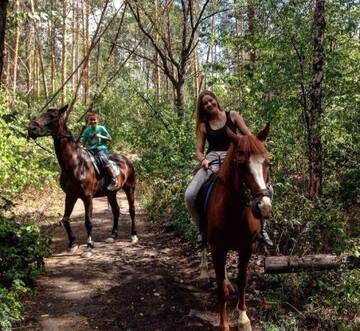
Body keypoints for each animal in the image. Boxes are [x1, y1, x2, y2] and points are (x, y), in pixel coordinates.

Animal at [27, 105, 138, 253]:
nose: (31, 128)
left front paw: (89, 245)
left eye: (53, 116)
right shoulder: (70, 195)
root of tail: (126, 160)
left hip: (130, 188)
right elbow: (65, 219)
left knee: (132, 210)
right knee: (116, 210)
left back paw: (134, 235)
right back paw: (113, 235)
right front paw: (73, 244)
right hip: (111, 193)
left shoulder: (87, 196)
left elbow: (88, 221)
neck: (75, 164)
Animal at [198, 124, 272, 331]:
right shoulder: (217, 248)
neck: (234, 211)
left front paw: (243, 318)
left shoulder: (247, 248)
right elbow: (220, 290)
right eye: (240, 164)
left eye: (266, 163)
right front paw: (224, 324)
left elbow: (242, 280)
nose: (263, 207)